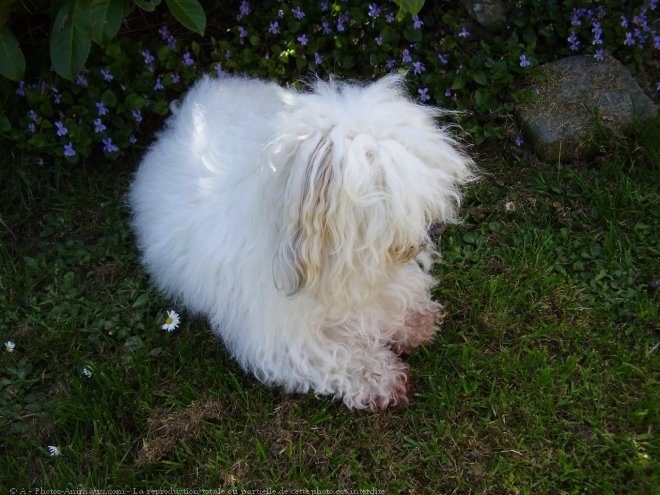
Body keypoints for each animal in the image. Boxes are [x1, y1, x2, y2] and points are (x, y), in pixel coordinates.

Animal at [129, 75, 472, 410]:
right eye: (383, 184)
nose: (436, 227)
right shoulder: (287, 339)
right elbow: (342, 359)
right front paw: (382, 381)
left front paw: (415, 323)